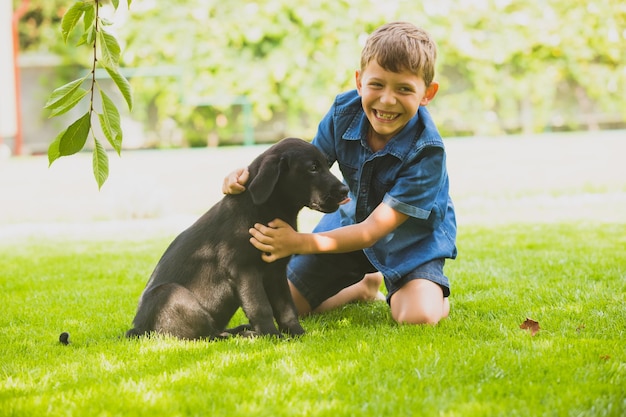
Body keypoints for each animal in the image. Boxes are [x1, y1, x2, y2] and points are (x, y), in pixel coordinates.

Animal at [124, 138, 348, 340]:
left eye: (326, 164)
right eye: (313, 168)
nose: (345, 191)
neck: (266, 210)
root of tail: (138, 330)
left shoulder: (276, 271)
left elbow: (286, 308)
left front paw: (298, 334)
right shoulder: (243, 270)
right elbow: (261, 307)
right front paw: (273, 336)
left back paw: (243, 331)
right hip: (169, 293)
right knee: (207, 335)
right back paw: (246, 335)